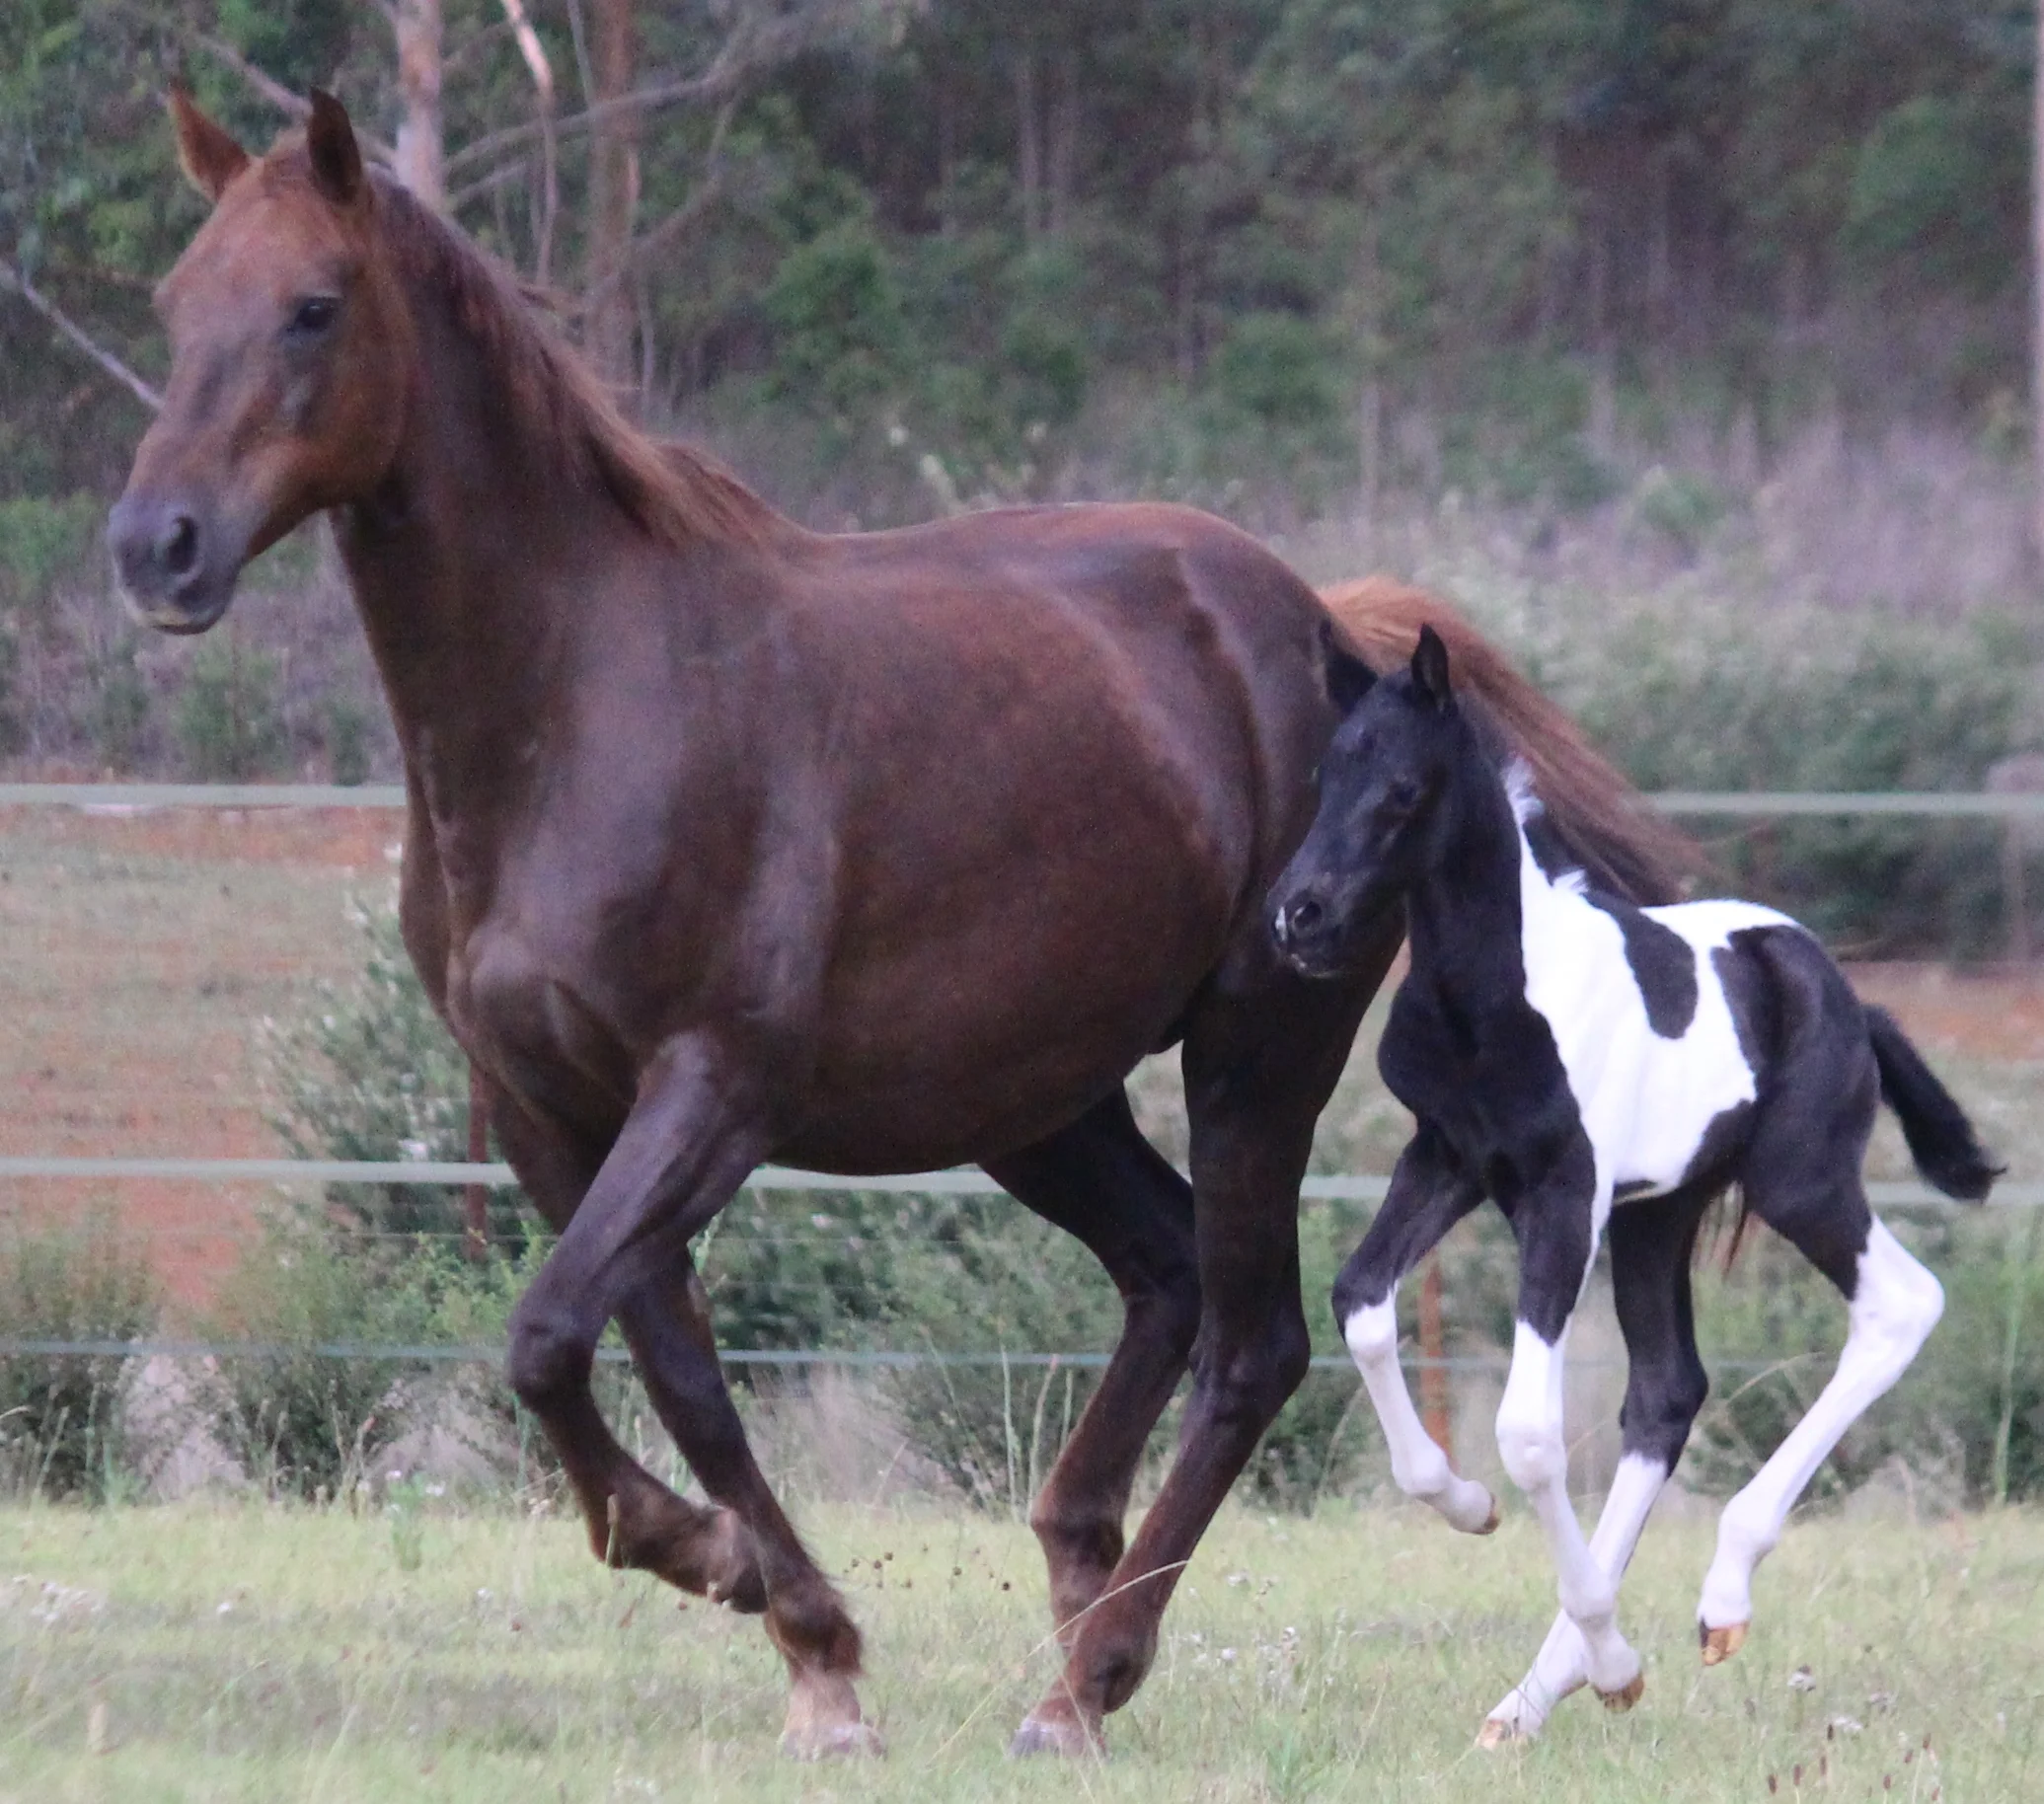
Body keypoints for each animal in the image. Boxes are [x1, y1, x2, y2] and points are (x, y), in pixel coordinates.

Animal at [107, 89, 1690, 1759]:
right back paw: (1078, 1591)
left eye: (313, 306)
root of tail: (1333, 631)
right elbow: (660, 1365)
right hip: (1034, 1098)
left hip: (1252, 1056)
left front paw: (717, 1565)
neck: (583, 706)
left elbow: (547, 1337)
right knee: (1167, 1277)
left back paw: (1086, 1676)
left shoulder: (710, 1092)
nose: (157, 546)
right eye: (173, 302)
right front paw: (802, 1641)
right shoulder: (544, 1109)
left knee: (1249, 1340)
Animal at [1268, 625, 1999, 1745]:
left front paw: (1606, 1645)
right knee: (1666, 1392)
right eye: (1321, 776)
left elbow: (1528, 1432)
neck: (1491, 998)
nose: (1298, 917)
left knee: (1900, 1303)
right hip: (1660, 1216)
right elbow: (1359, 1305)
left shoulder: (1565, 1194)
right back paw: (1541, 1693)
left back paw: (1716, 1600)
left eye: (1400, 788)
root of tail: (1837, 985)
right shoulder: (1447, 1159)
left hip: (1798, 1185)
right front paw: (1466, 1509)